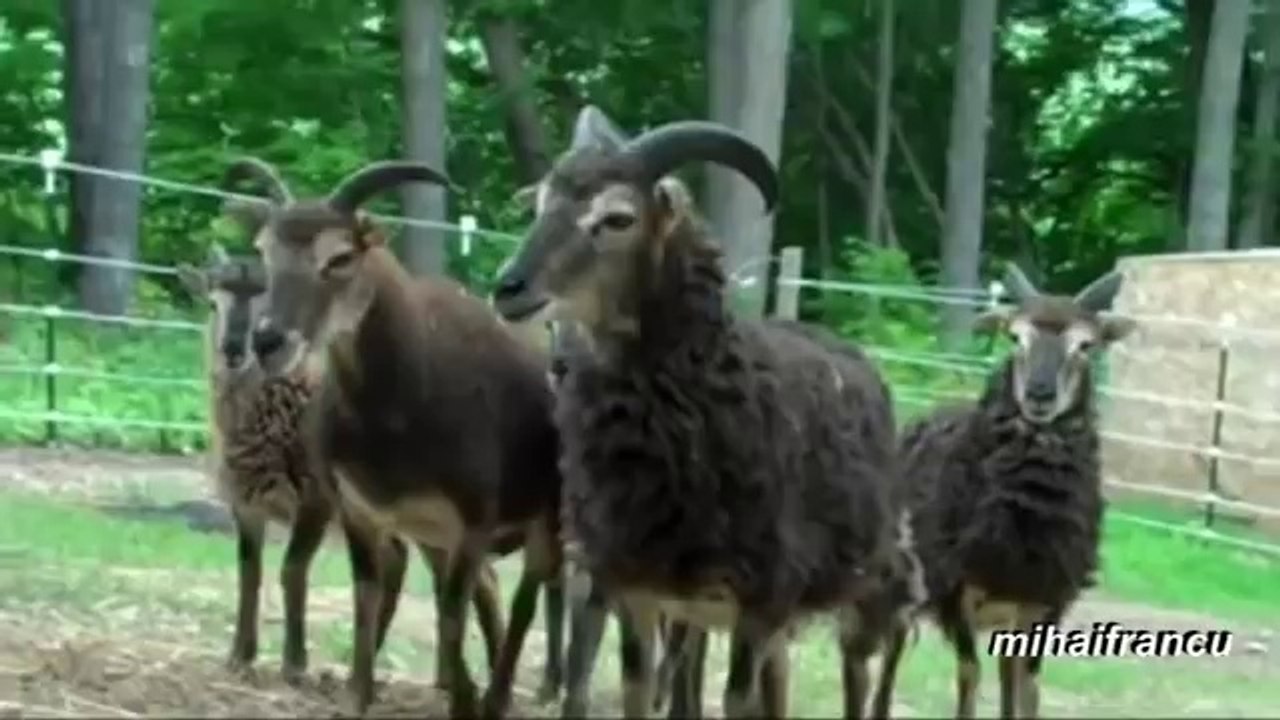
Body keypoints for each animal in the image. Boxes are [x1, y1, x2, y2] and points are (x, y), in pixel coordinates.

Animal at [224, 156, 563, 718]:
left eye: (340, 256)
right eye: (264, 250)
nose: (269, 340)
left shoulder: (473, 522)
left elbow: (451, 615)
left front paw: (466, 703)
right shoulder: (362, 512)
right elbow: (369, 597)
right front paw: (359, 695)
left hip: (545, 522)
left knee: (527, 597)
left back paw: (500, 695)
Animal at [491, 104, 911, 719]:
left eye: (618, 217)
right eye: (541, 204)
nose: (509, 288)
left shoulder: (759, 603)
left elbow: (736, 701)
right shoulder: (638, 590)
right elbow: (638, 690)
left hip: (850, 595)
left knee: (848, 678)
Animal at [871, 263, 1136, 719]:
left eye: (1085, 344)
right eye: (1015, 337)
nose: (1039, 394)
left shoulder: (1044, 599)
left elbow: (1026, 687)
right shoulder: (957, 590)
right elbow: (969, 675)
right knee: (892, 653)